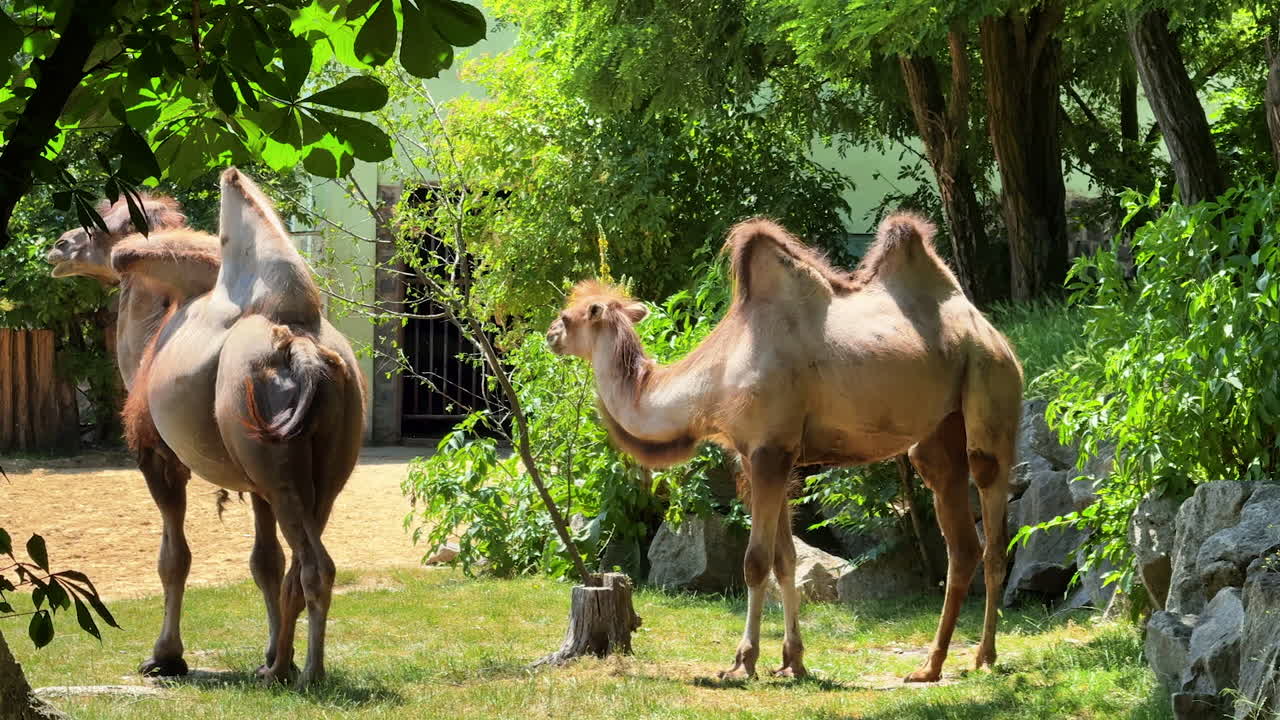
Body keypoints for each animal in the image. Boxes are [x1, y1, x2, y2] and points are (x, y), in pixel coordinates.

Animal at [46, 171, 365, 688]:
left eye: (103, 224)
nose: (58, 246)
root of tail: (301, 349)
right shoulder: (254, 485)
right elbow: (265, 562)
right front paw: (269, 653)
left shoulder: (158, 456)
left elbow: (173, 558)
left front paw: (164, 657)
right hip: (320, 466)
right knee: (300, 563)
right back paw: (278, 667)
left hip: (277, 467)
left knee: (316, 566)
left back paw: (308, 675)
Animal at [546, 214, 1023, 682]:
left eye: (568, 317)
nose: (550, 334)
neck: (714, 383)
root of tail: (992, 331)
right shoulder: (759, 455)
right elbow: (785, 559)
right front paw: (792, 659)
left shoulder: (770, 450)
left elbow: (756, 561)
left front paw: (743, 661)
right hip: (939, 431)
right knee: (961, 540)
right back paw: (930, 666)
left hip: (990, 383)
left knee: (993, 525)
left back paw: (984, 656)